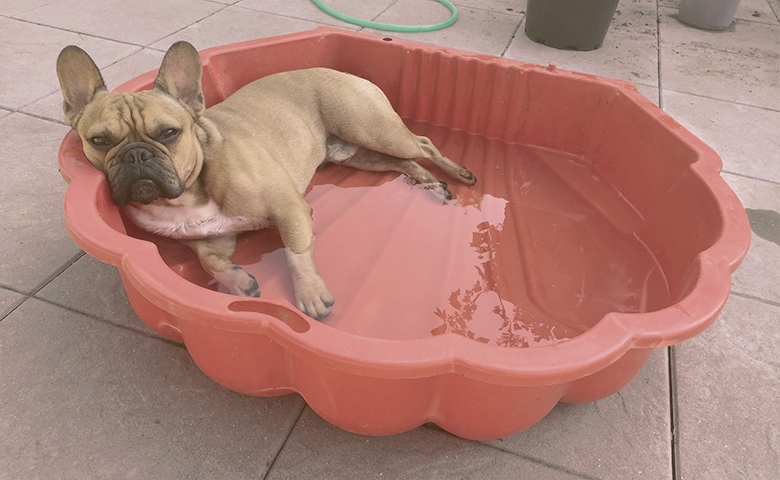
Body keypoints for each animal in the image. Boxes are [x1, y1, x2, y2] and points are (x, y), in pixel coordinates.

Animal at [58, 40, 476, 318]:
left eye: (169, 133)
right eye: (99, 140)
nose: (136, 155)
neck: (185, 195)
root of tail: (342, 72)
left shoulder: (289, 208)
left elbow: (295, 250)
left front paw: (310, 294)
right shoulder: (212, 237)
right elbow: (210, 261)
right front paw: (239, 283)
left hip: (372, 128)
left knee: (422, 144)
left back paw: (458, 173)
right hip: (359, 155)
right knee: (400, 162)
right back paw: (430, 184)